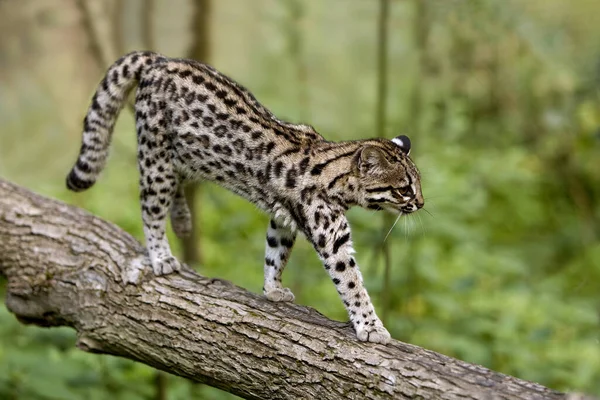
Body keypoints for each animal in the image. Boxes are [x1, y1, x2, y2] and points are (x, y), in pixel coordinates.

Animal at [67, 51, 422, 342]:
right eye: (404, 188)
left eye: (418, 184)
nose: (420, 204)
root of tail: (159, 60)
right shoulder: (331, 238)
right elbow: (351, 283)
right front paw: (371, 325)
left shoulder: (283, 218)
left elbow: (275, 252)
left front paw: (272, 289)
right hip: (156, 159)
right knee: (151, 209)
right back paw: (161, 255)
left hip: (184, 156)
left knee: (177, 186)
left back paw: (181, 221)